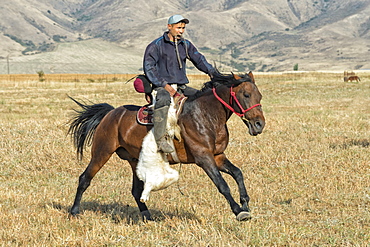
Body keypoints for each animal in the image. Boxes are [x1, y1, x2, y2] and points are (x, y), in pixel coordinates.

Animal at [68, 70, 264, 221]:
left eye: (259, 96)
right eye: (246, 95)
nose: (259, 124)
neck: (206, 115)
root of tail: (111, 113)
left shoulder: (217, 156)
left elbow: (237, 173)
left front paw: (245, 203)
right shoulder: (204, 158)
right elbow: (222, 185)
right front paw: (238, 211)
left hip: (134, 159)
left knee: (136, 191)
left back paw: (148, 217)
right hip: (102, 152)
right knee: (84, 178)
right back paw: (74, 211)